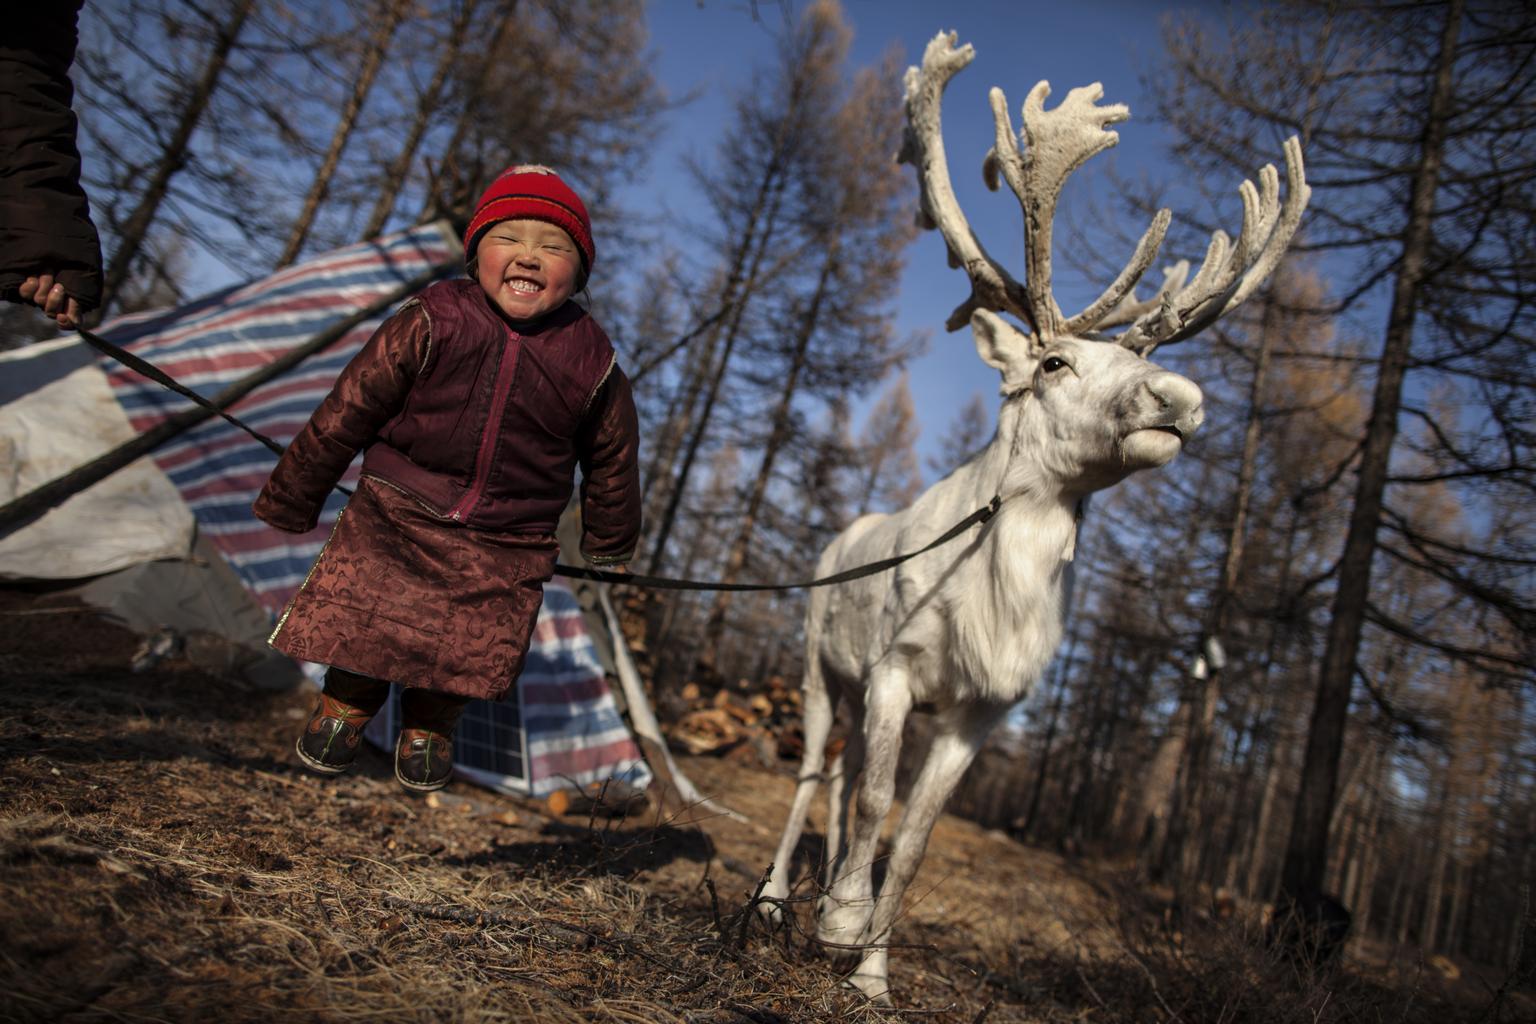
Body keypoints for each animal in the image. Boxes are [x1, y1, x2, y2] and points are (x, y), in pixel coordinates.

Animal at [760, 31, 1309, 1003]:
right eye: (1052, 362)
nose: (1181, 398)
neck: (998, 590)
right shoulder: (896, 666)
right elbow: (875, 799)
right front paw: (841, 923)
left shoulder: (982, 710)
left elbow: (915, 838)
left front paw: (873, 976)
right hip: (825, 668)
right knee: (814, 772)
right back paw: (774, 900)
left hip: (859, 689)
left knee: (841, 775)